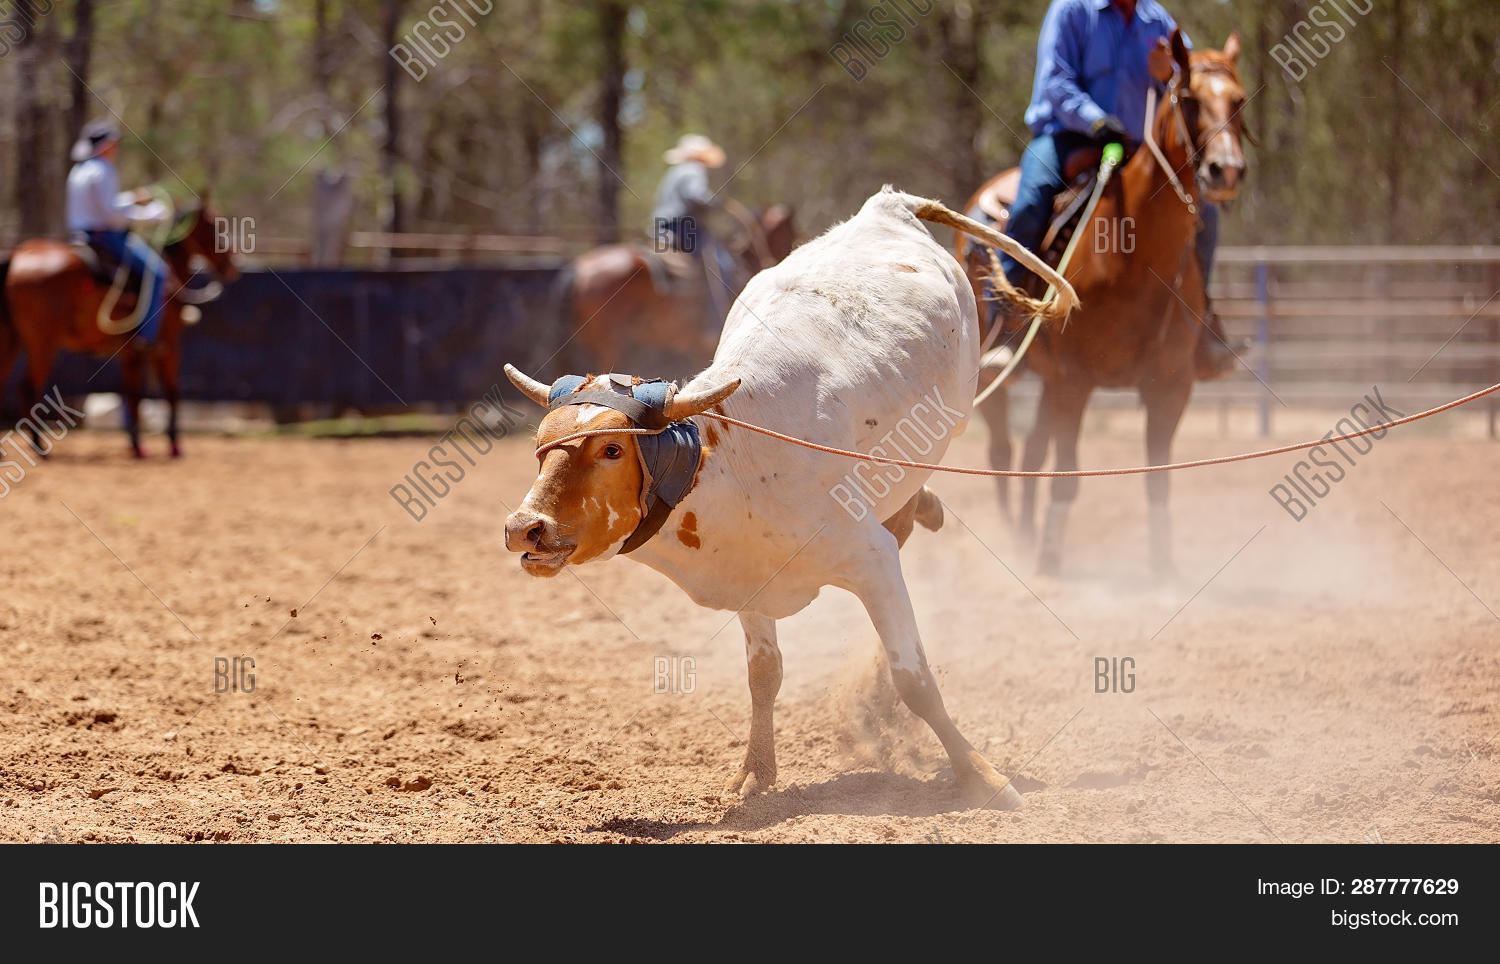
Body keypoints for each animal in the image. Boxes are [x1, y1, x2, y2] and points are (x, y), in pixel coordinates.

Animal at [504, 186, 1075, 809]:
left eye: (611, 449)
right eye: (541, 446)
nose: (524, 527)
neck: (733, 465)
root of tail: (887, 207)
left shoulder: (870, 559)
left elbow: (915, 679)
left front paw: (982, 777)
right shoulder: (752, 579)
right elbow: (765, 676)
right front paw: (756, 771)